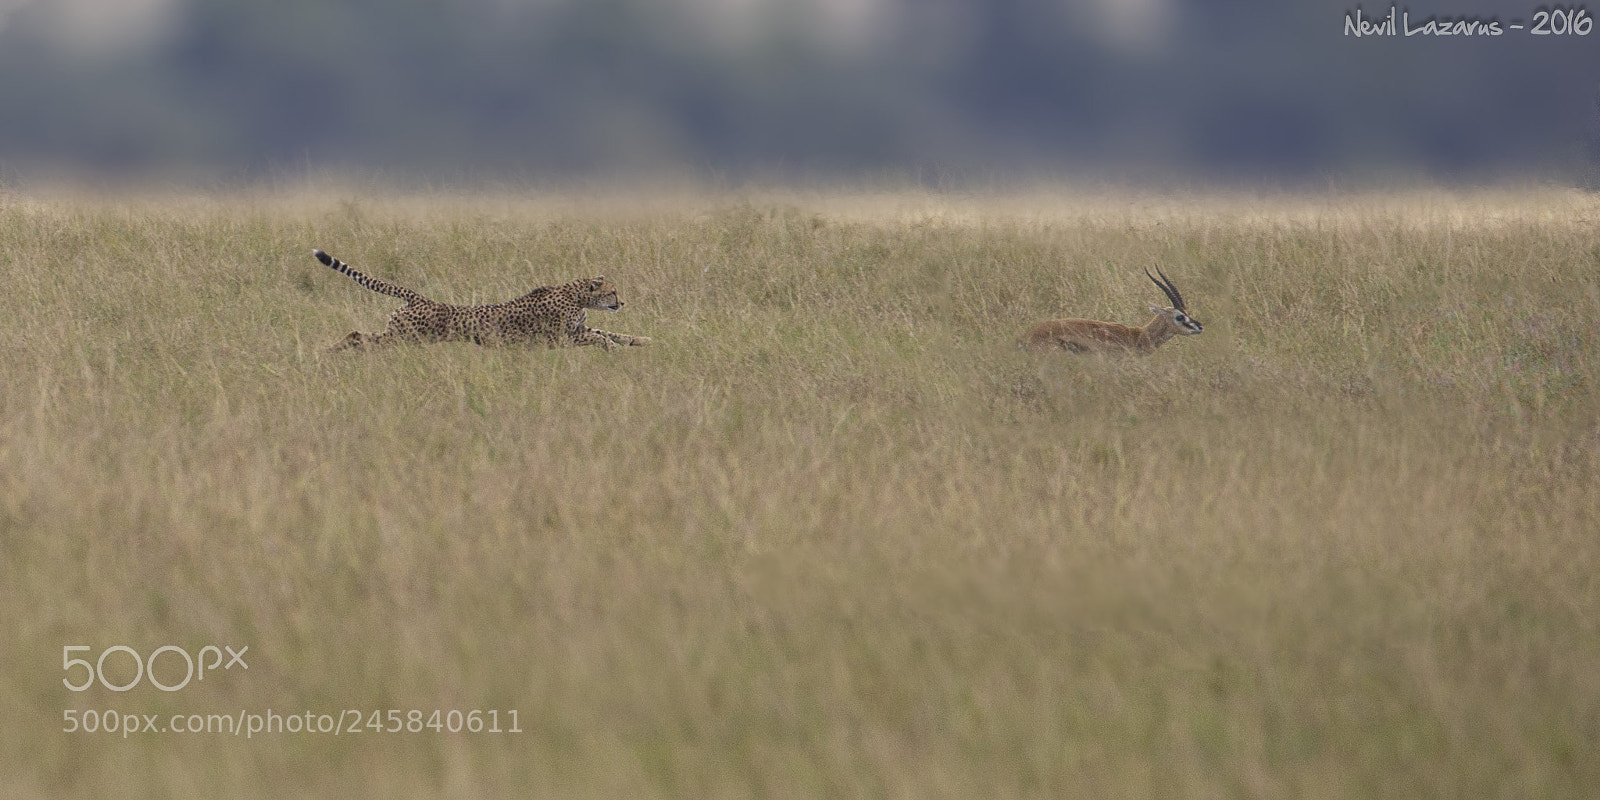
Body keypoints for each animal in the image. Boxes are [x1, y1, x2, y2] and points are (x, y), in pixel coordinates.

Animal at [312, 249, 651, 352]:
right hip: (405, 337)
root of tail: (420, 298)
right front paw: (613, 350)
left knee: (360, 336)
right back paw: (329, 352)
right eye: (612, 292)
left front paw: (641, 340)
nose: (622, 303)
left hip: (401, 335)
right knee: (359, 336)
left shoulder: (579, 330)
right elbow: (600, 338)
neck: (576, 294)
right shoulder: (563, 337)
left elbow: (611, 332)